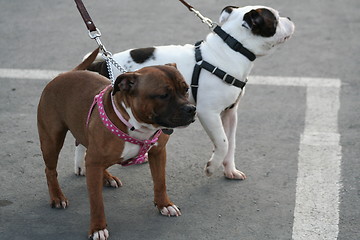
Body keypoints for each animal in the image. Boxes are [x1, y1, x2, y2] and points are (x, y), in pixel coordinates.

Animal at [37, 48, 195, 238]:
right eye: (163, 95)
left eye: (186, 89)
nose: (191, 109)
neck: (136, 124)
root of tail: (67, 73)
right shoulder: (94, 162)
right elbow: (97, 202)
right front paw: (98, 228)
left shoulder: (158, 153)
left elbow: (160, 182)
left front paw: (164, 204)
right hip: (51, 141)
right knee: (50, 170)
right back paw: (57, 197)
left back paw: (107, 177)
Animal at [88, 5, 296, 178]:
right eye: (276, 19)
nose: (289, 17)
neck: (232, 50)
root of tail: (100, 65)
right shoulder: (208, 113)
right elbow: (223, 142)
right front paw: (212, 166)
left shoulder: (230, 114)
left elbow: (231, 143)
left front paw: (230, 170)